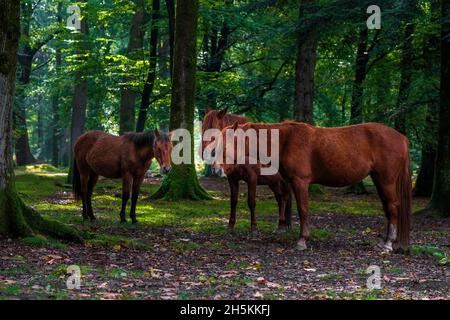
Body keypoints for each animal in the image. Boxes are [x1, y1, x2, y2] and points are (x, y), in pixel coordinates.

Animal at [214, 121, 412, 251]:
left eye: (227, 144)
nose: (216, 169)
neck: (286, 141)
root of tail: (402, 138)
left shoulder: (300, 182)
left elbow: (303, 209)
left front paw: (302, 240)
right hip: (379, 180)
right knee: (387, 208)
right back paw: (384, 241)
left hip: (386, 181)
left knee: (393, 207)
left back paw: (388, 243)